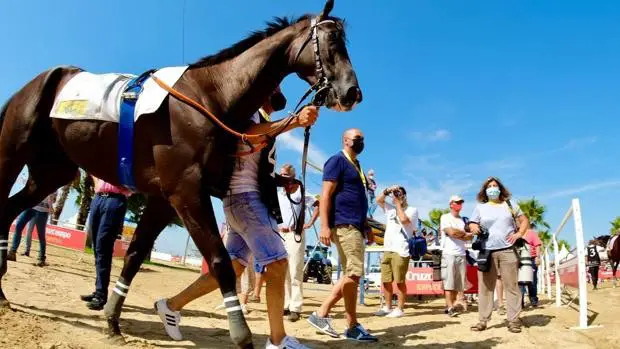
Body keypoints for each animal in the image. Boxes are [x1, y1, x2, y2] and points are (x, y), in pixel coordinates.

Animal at [0, 2, 360, 346]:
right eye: (331, 41)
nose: (352, 93)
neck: (210, 96)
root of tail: (40, 80)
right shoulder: (186, 191)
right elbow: (220, 262)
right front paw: (241, 335)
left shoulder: (163, 198)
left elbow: (134, 255)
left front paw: (112, 321)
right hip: (11, 155)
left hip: (52, 172)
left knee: (11, 209)